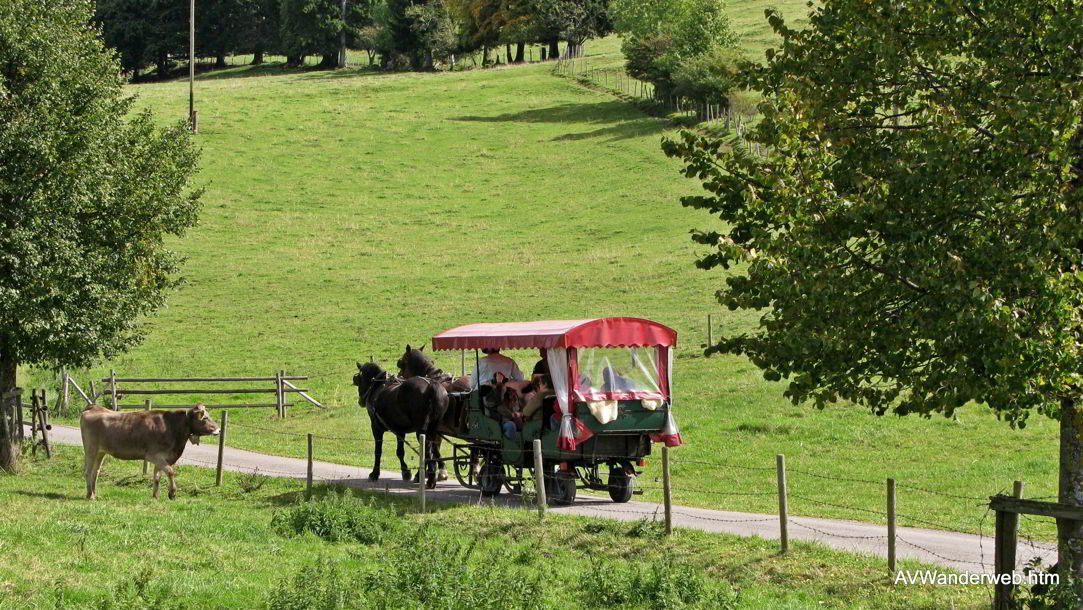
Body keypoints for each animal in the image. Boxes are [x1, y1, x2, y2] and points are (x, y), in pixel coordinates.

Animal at [79, 403, 219, 498]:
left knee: (95, 472)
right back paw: (90, 496)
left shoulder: (162, 457)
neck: (172, 426)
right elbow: (170, 471)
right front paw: (172, 493)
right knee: (87, 471)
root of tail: (94, 407)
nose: (219, 429)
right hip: (91, 449)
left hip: (100, 452)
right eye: (205, 418)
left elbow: (157, 476)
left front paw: (155, 496)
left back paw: (92, 494)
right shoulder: (153, 455)